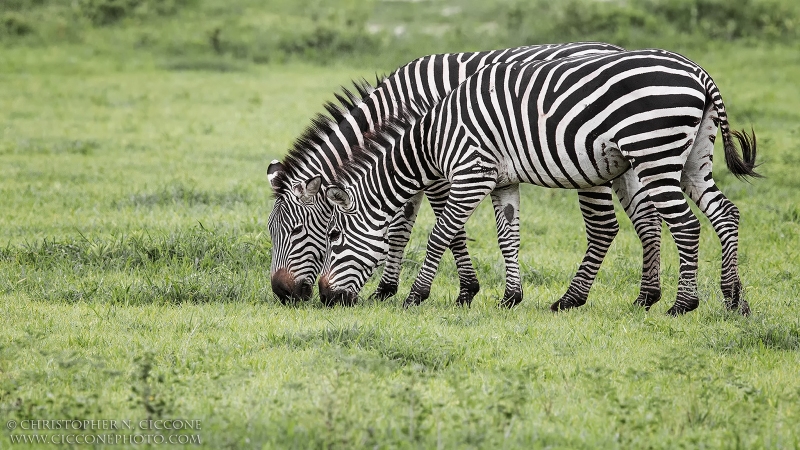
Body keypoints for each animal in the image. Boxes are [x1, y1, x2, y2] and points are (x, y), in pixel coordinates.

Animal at [268, 42, 668, 310]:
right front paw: (385, 290)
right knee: (647, 220)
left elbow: (449, 231)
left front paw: (465, 291)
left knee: (605, 228)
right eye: (272, 233)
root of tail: (613, 46)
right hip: (627, 161)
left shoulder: (437, 167)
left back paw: (572, 299)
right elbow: (399, 228)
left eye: (299, 231)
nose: (281, 293)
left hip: (591, 167)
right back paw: (646, 297)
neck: (395, 107)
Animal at [320, 49, 764, 314]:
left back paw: (682, 304)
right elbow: (508, 236)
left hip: (655, 153)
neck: (432, 139)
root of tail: (698, 72)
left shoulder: (470, 174)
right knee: (725, 214)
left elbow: (440, 234)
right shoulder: (502, 181)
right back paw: (731, 300)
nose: (323, 297)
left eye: (334, 238)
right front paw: (510, 297)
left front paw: (415, 296)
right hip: (691, 160)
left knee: (684, 225)